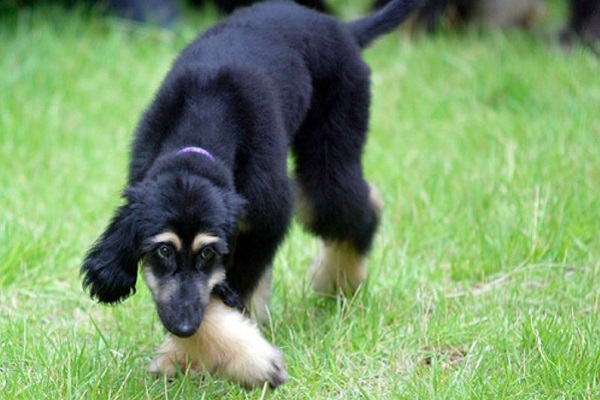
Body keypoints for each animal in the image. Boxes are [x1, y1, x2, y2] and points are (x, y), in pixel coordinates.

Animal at [81, 0, 418, 388]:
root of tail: (341, 28)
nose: (184, 326)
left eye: (207, 253)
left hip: (335, 134)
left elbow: (229, 291)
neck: (200, 126)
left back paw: (339, 281)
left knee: (350, 205)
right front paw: (184, 355)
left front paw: (243, 360)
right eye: (164, 250)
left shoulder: (265, 222)